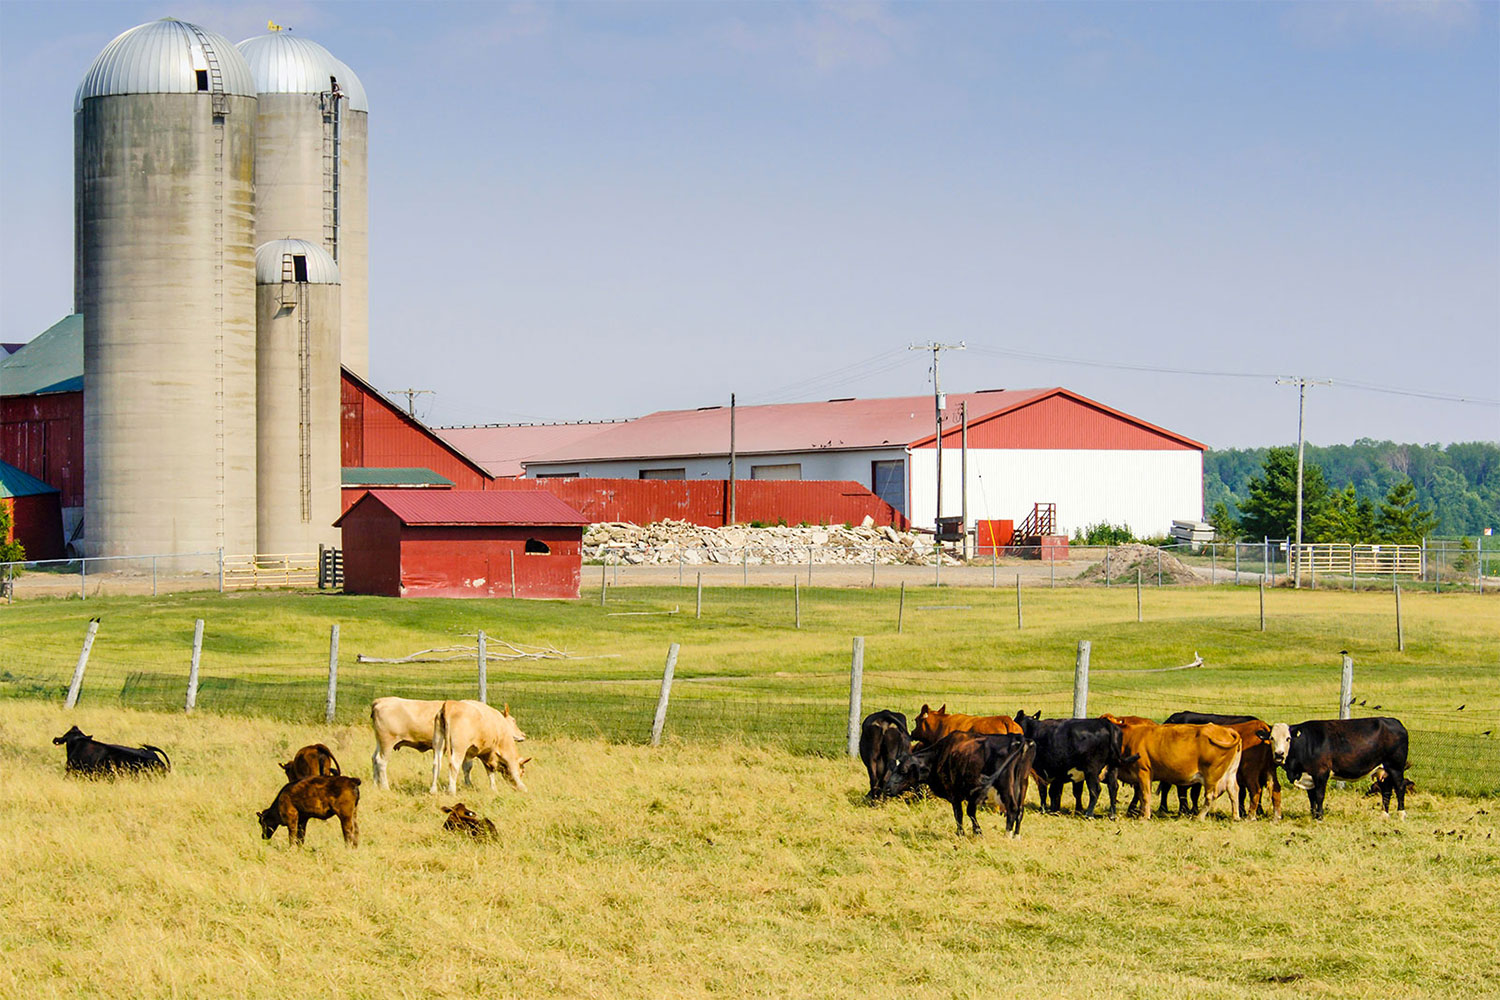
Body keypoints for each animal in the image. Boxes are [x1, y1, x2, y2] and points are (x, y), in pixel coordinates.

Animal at [370, 695, 528, 791]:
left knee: (374, 759)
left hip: (380, 742)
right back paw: (385, 786)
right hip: (387, 742)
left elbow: (466, 767)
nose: (523, 735)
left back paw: (376, 784)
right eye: (513, 720)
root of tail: (380, 701)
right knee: (382, 762)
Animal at [876, 728, 1032, 839]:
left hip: (1005, 785)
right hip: (1023, 784)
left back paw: (1007, 835)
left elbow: (961, 813)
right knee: (1020, 809)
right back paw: (1016, 835)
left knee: (1012, 808)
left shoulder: (957, 793)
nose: (887, 789)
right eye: (892, 768)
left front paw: (965, 834)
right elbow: (969, 812)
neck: (940, 754)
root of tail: (1017, 738)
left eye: (903, 771)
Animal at [1266, 719, 1404, 821]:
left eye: (1288, 738)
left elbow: (1319, 795)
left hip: (1396, 767)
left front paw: (1320, 817)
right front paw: (1314, 815)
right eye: (1272, 738)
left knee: (1399, 788)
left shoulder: (1321, 773)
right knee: (1386, 790)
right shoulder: (1309, 776)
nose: (1279, 754)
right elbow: (1311, 797)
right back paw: (1384, 815)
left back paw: (1401, 814)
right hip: (1383, 770)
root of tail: (1394, 721)